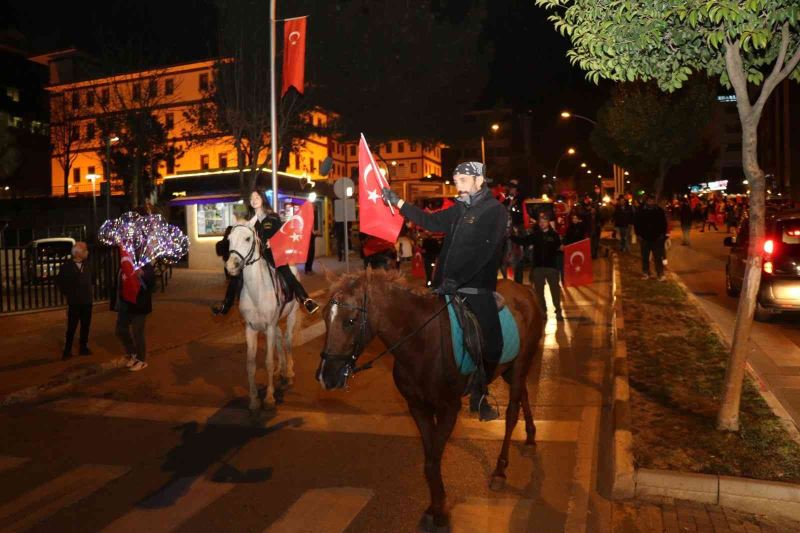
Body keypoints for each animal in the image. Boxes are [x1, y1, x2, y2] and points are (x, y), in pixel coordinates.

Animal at [225, 224, 300, 412]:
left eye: (247, 238)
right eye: (228, 239)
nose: (231, 266)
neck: (256, 291)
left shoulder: (269, 327)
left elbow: (268, 362)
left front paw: (269, 398)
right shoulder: (251, 328)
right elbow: (250, 364)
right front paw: (254, 400)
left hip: (291, 314)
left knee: (287, 340)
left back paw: (289, 372)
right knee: (280, 340)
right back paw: (282, 369)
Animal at [318, 268, 544, 528]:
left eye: (350, 321)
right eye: (324, 318)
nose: (326, 376)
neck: (422, 343)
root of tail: (525, 290)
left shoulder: (448, 409)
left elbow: (433, 462)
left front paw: (440, 512)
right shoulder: (418, 408)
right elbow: (429, 462)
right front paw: (434, 506)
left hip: (520, 365)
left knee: (511, 413)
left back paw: (500, 470)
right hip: (508, 369)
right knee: (524, 394)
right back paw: (530, 434)